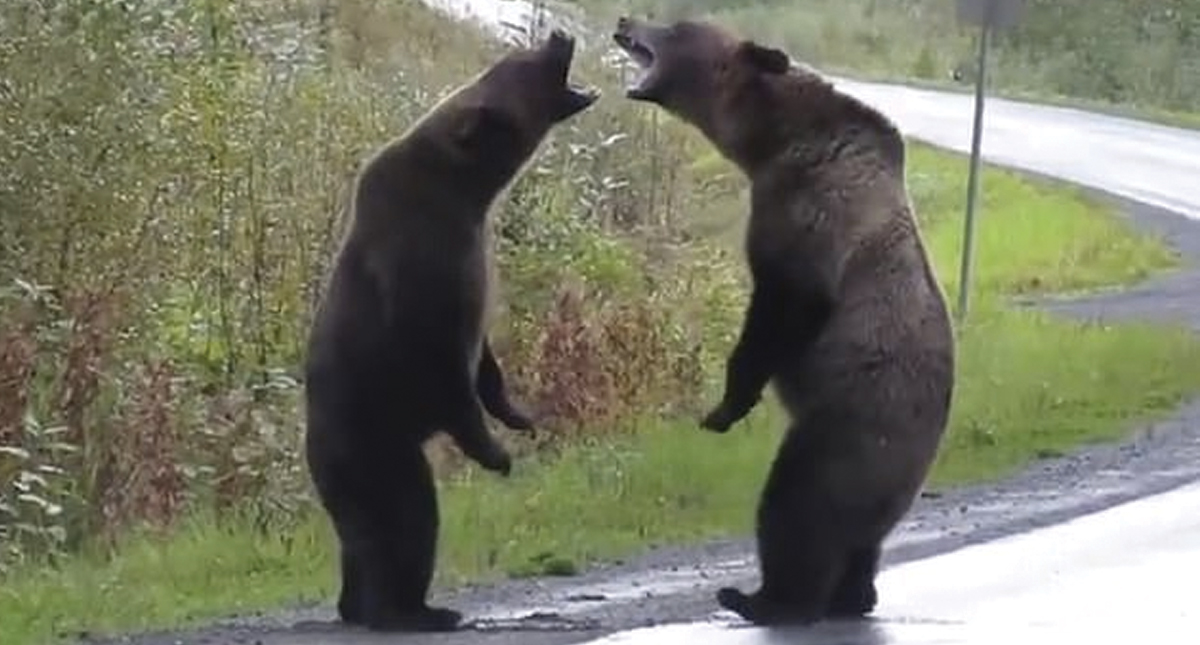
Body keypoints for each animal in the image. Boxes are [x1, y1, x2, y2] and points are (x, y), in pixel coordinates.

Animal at [303, 29, 598, 632]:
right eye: (522, 63)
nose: (559, 34)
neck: (469, 191)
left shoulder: (471, 268)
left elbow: (483, 358)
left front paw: (519, 414)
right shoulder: (422, 275)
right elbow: (445, 369)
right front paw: (497, 453)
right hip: (369, 442)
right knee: (403, 518)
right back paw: (409, 611)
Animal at [613, 17, 955, 626]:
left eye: (676, 26)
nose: (626, 21)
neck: (769, 140)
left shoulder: (809, 214)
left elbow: (783, 306)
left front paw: (724, 408)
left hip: (848, 429)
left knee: (795, 507)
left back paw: (761, 598)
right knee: (860, 543)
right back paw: (851, 596)